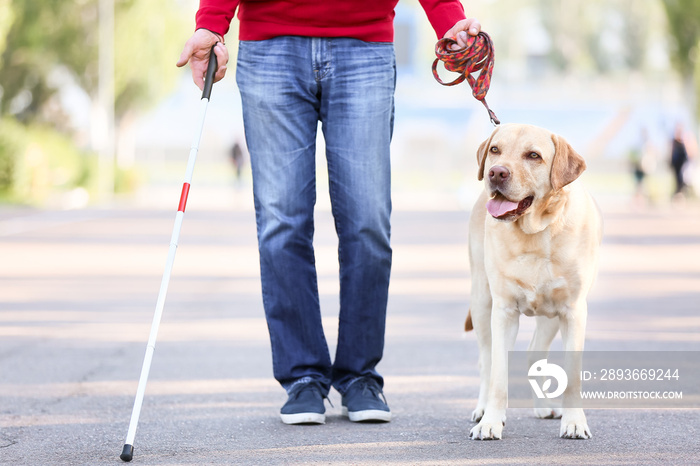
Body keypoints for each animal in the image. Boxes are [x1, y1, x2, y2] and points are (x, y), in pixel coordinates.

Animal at [468, 123, 600, 440]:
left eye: (533, 156)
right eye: (495, 150)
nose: (496, 173)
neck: (537, 231)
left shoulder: (573, 311)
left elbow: (572, 375)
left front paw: (574, 421)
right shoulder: (503, 311)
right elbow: (498, 374)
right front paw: (491, 421)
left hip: (550, 317)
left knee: (534, 355)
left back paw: (544, 407)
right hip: (481, 301)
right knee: (486, 360)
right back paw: (482, 409)